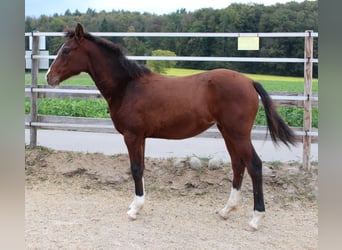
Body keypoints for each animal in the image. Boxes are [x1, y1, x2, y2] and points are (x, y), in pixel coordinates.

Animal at [46, 23, 296, 230]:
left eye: (66, 50)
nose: (49, 77)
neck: (127, 86)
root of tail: (249, 81)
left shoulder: (132, 136)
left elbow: (135, 169)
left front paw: (134, 210)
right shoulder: (142, 137)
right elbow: (141, 168)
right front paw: (139, 206)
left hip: (238, 134)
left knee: (254, 166)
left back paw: (255, 219)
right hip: (228, 133)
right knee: (238, 165)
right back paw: (226, 210)